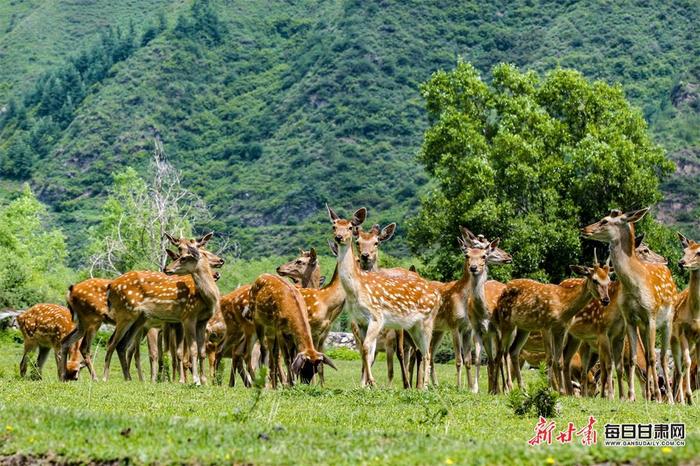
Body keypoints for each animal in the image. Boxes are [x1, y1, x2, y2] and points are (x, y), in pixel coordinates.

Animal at [326, 206, 438, 388]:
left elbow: (367, 348)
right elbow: (366, 351)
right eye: (334, 226)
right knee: (421, 351)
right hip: (413, 326)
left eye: (350, 227)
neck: (356, 289)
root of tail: (437, 294)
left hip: (427, 321)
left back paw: (424, 386)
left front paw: (372, 382)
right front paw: (366, 385)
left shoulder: (376, 316)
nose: (339, 237)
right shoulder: (360, 321)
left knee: (427, 353)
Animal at [580, 208, 680, 400]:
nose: (584, 228)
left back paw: (669, 398)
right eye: (645, 249)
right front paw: (631, 396)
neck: (633, 286)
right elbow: (632, 359)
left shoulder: (651, 315)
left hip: (668, 321)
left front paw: (656, 395)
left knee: (662, 357)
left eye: (605, 221)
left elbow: (652, 358)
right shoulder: (631, 320)